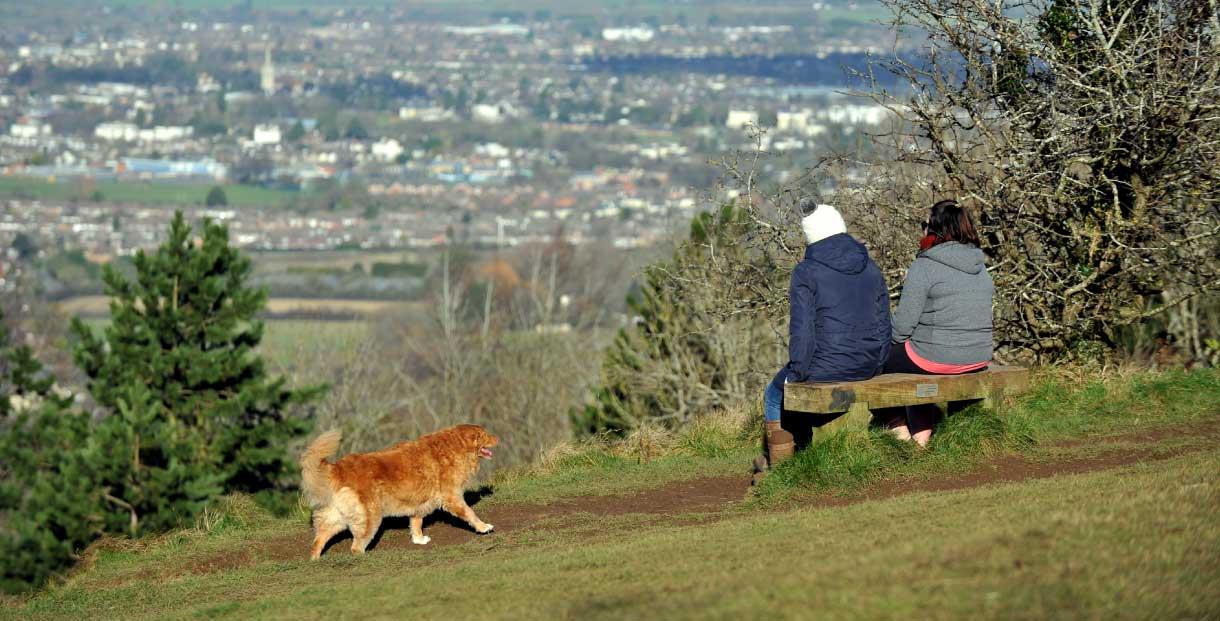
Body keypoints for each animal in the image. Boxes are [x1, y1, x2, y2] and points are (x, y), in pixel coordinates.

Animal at [298, 422, 495, 556]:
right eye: (486, 435)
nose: (498, 438)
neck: (455, 446)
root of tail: (337, 468)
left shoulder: (418, 504)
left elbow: (416, 523)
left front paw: (419, 540)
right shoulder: (452, 497)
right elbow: (470, 513)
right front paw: (483, 527)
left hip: (335, 519)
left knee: (318, 541)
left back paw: (316, 561)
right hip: (369, 518)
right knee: (356, 547)